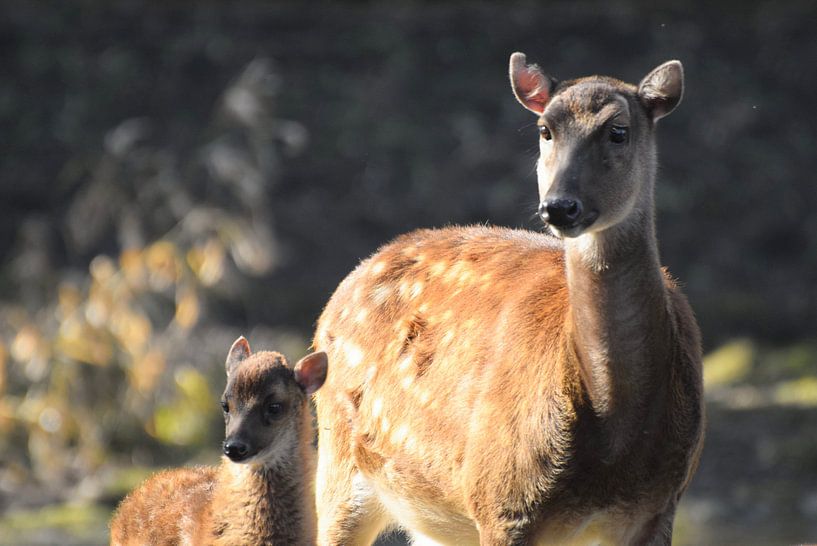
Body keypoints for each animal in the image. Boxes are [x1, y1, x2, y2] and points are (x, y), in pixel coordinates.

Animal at [311, 52, 704, 545]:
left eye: (619, 130)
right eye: (545, 129)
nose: (559, 206)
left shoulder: (660, 506)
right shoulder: (502, 501)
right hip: (338, 463)